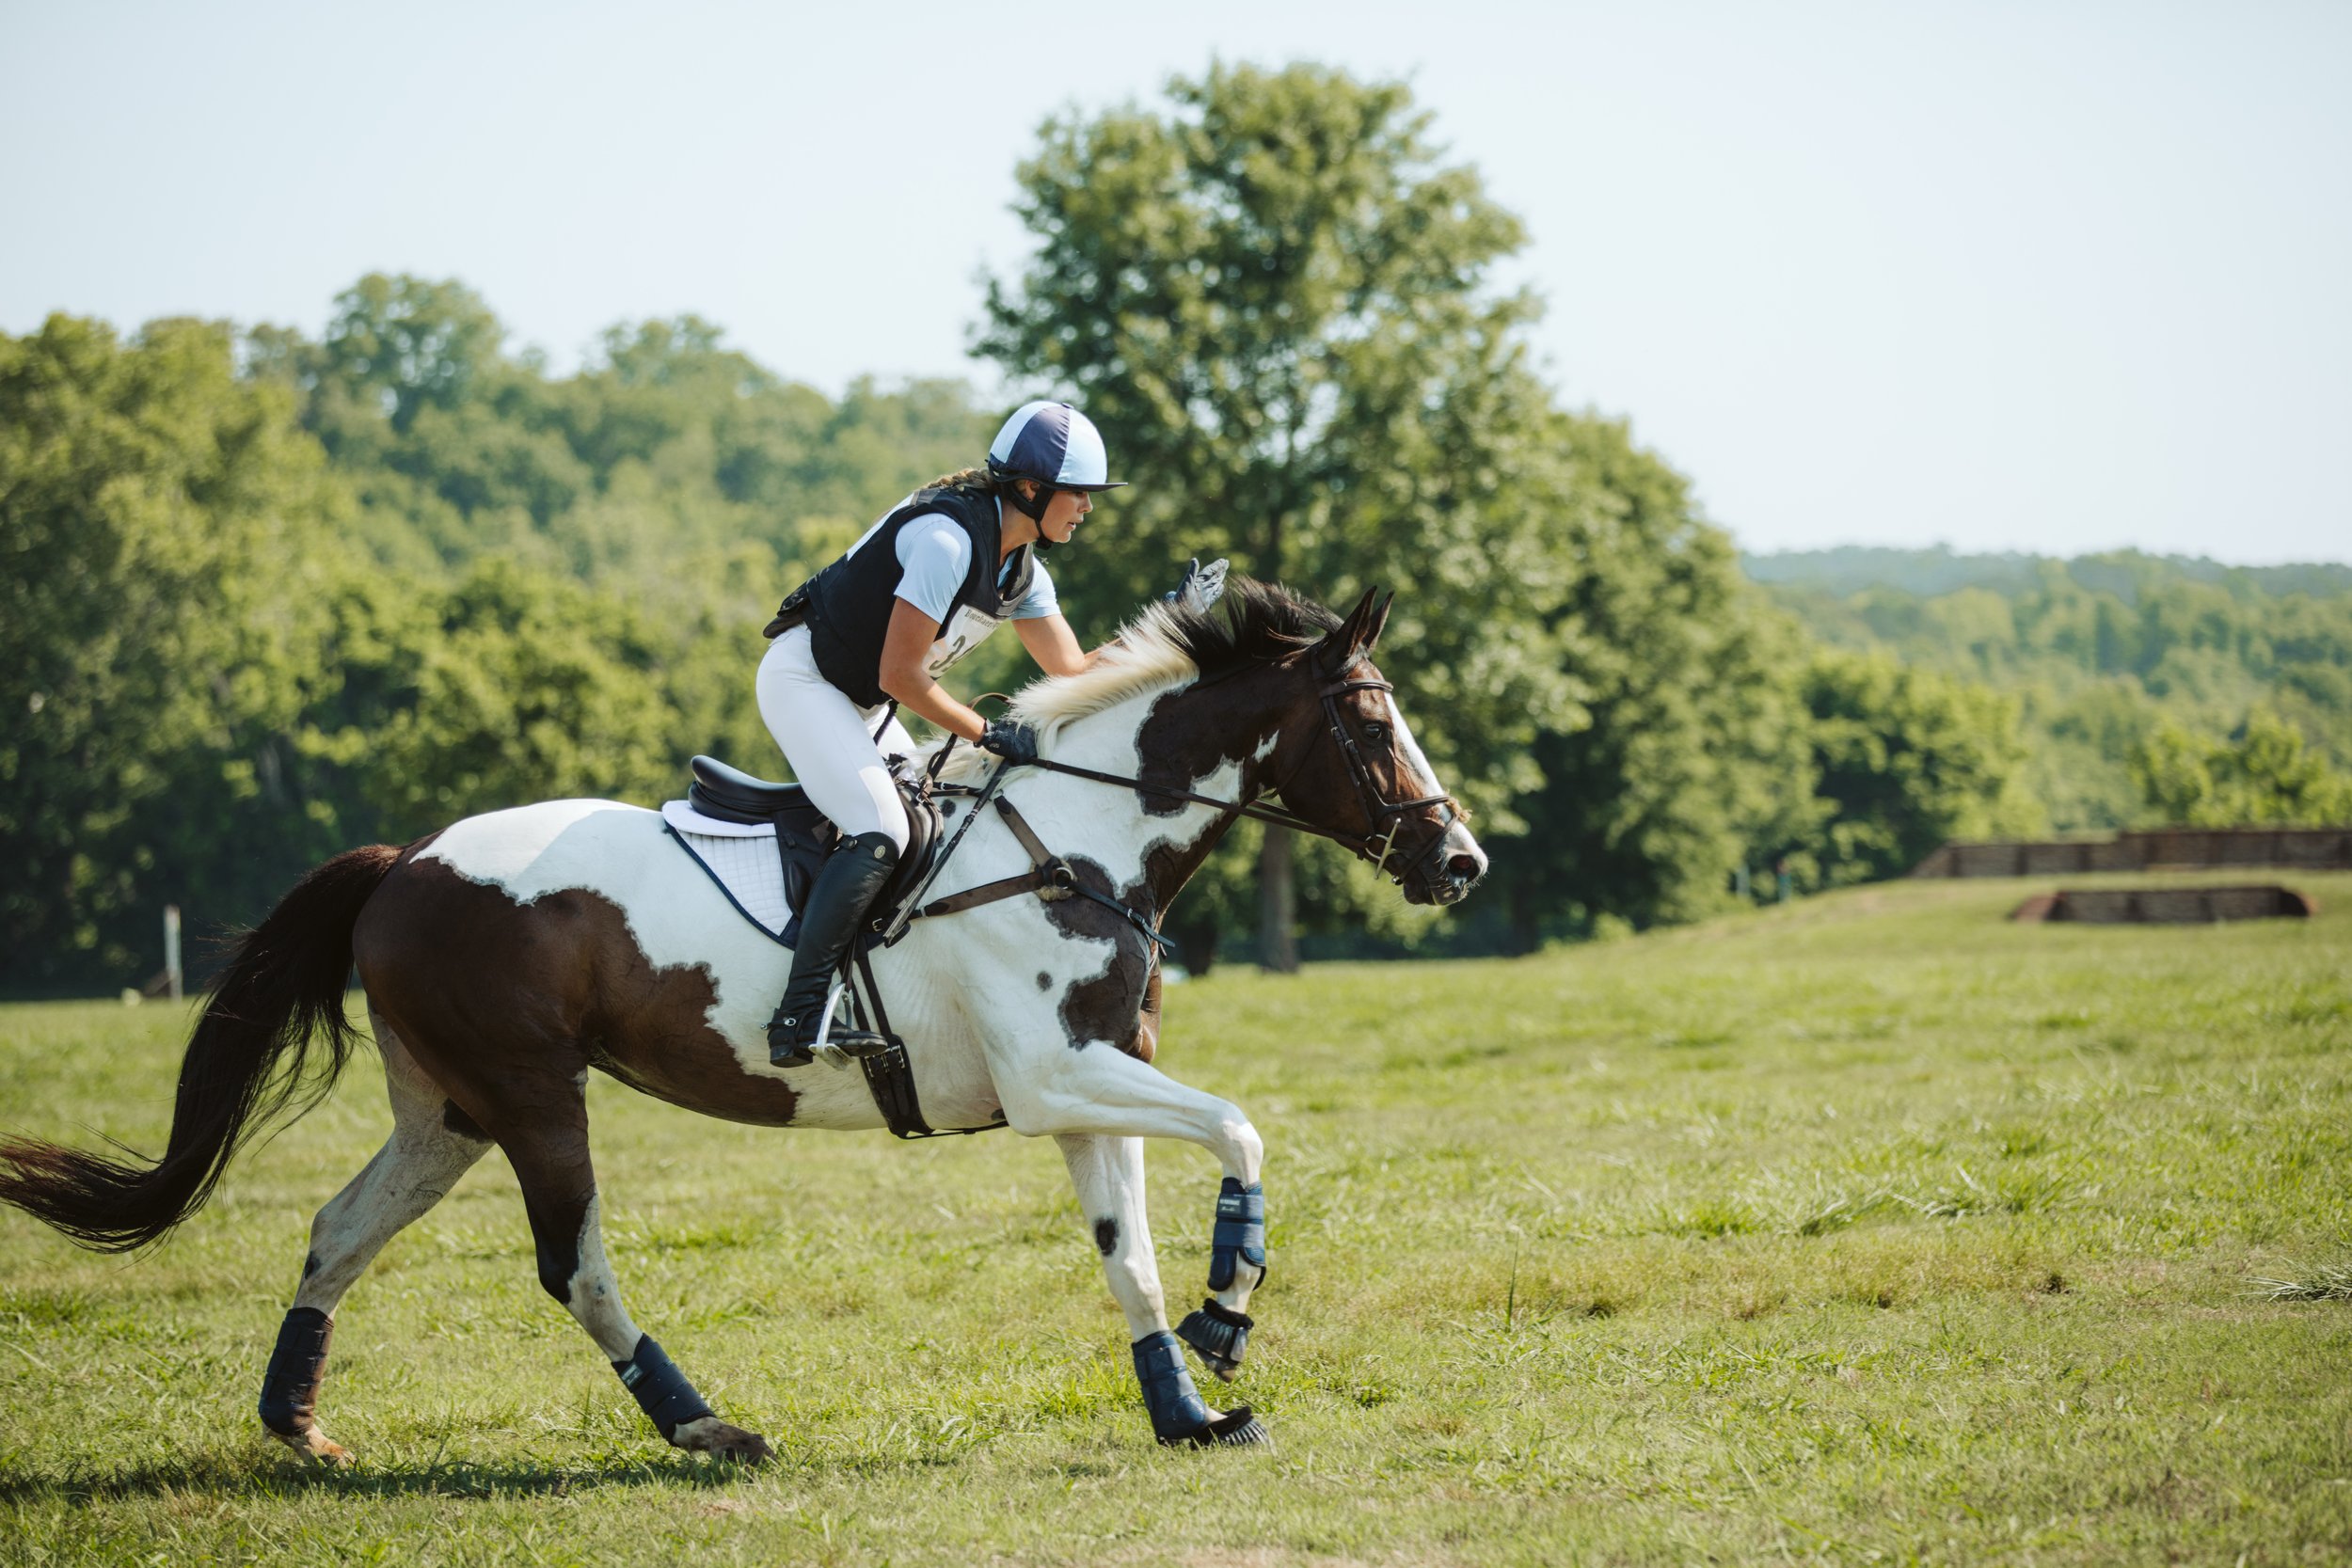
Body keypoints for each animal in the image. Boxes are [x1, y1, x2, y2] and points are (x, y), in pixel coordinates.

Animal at [0, 580, 1485, 1461]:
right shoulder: (1056, 1080)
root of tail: (406, 857)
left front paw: (1189, 1402)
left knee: (337, 1228)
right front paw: (1232, 1310)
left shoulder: (1089, 1080)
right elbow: (1237, 1130)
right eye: (1370, 725)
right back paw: (708, 1424)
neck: (1075, 837)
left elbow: (1130, 1257)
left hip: (449, 1109)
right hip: (535, 1094)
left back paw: (297, 1424)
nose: (1458, 860)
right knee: (573, 1265)